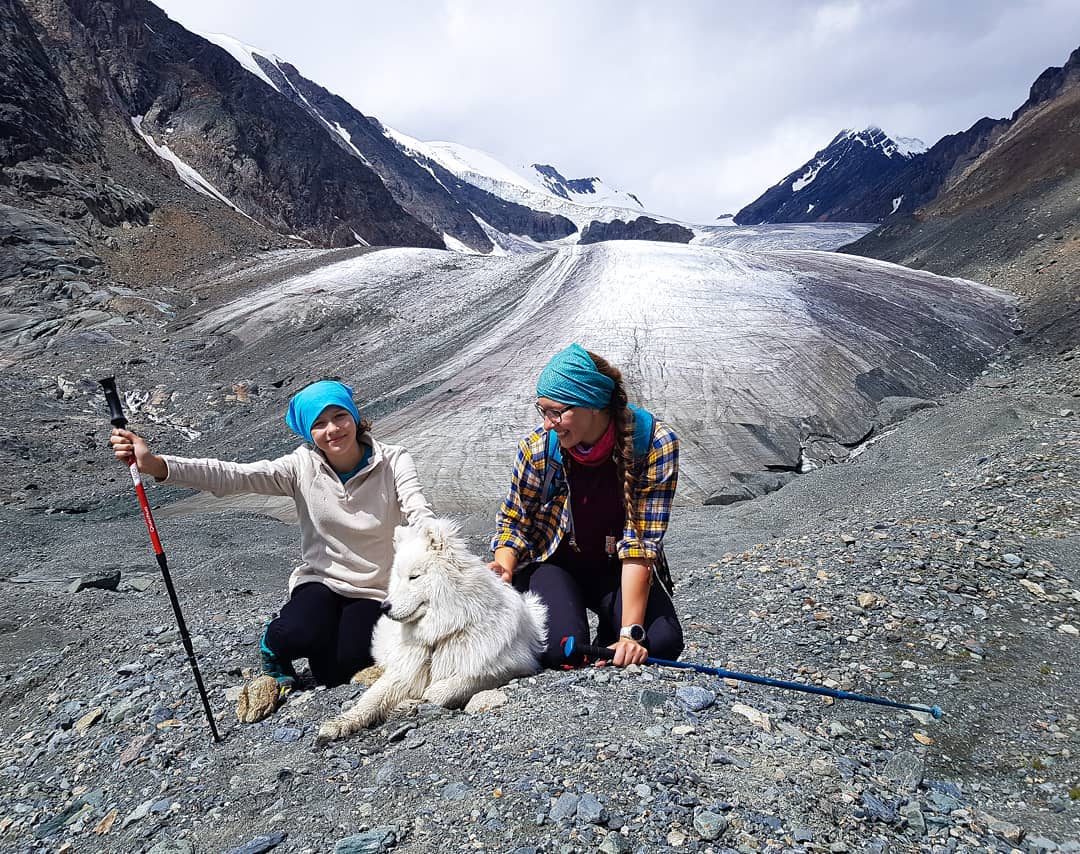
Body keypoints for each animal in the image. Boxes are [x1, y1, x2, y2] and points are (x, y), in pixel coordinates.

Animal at [315, 518, 544, 742]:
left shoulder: (507, 666)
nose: (384, 607)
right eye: (398, 577)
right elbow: (370, 698)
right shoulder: (404, 669)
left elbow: (442, 690)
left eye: (414, 577)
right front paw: (341, 722)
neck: (440, 634)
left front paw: (410, 703)